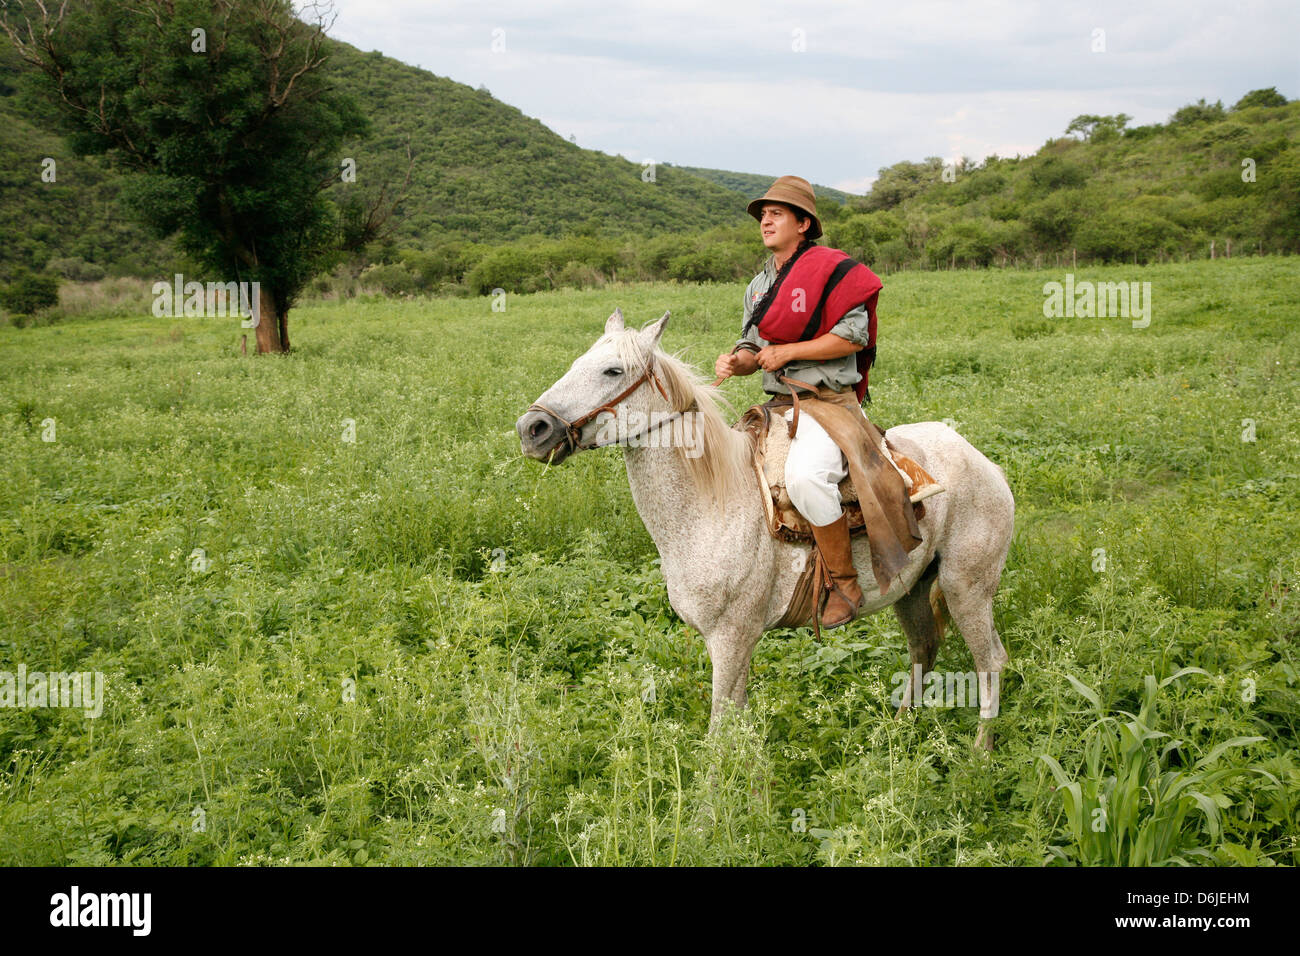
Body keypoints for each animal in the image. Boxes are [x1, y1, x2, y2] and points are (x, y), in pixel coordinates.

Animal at [517, 310, 1013, 749]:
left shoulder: (731, 639)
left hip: (966, 587)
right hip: (912, 589)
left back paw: (979, 754)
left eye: (612, 370)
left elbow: (719, 732)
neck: (711, 504)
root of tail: (985, 463)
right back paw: (898, 733)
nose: (532, 428)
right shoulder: (735, 646)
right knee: (923, 650)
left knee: (990, 661)